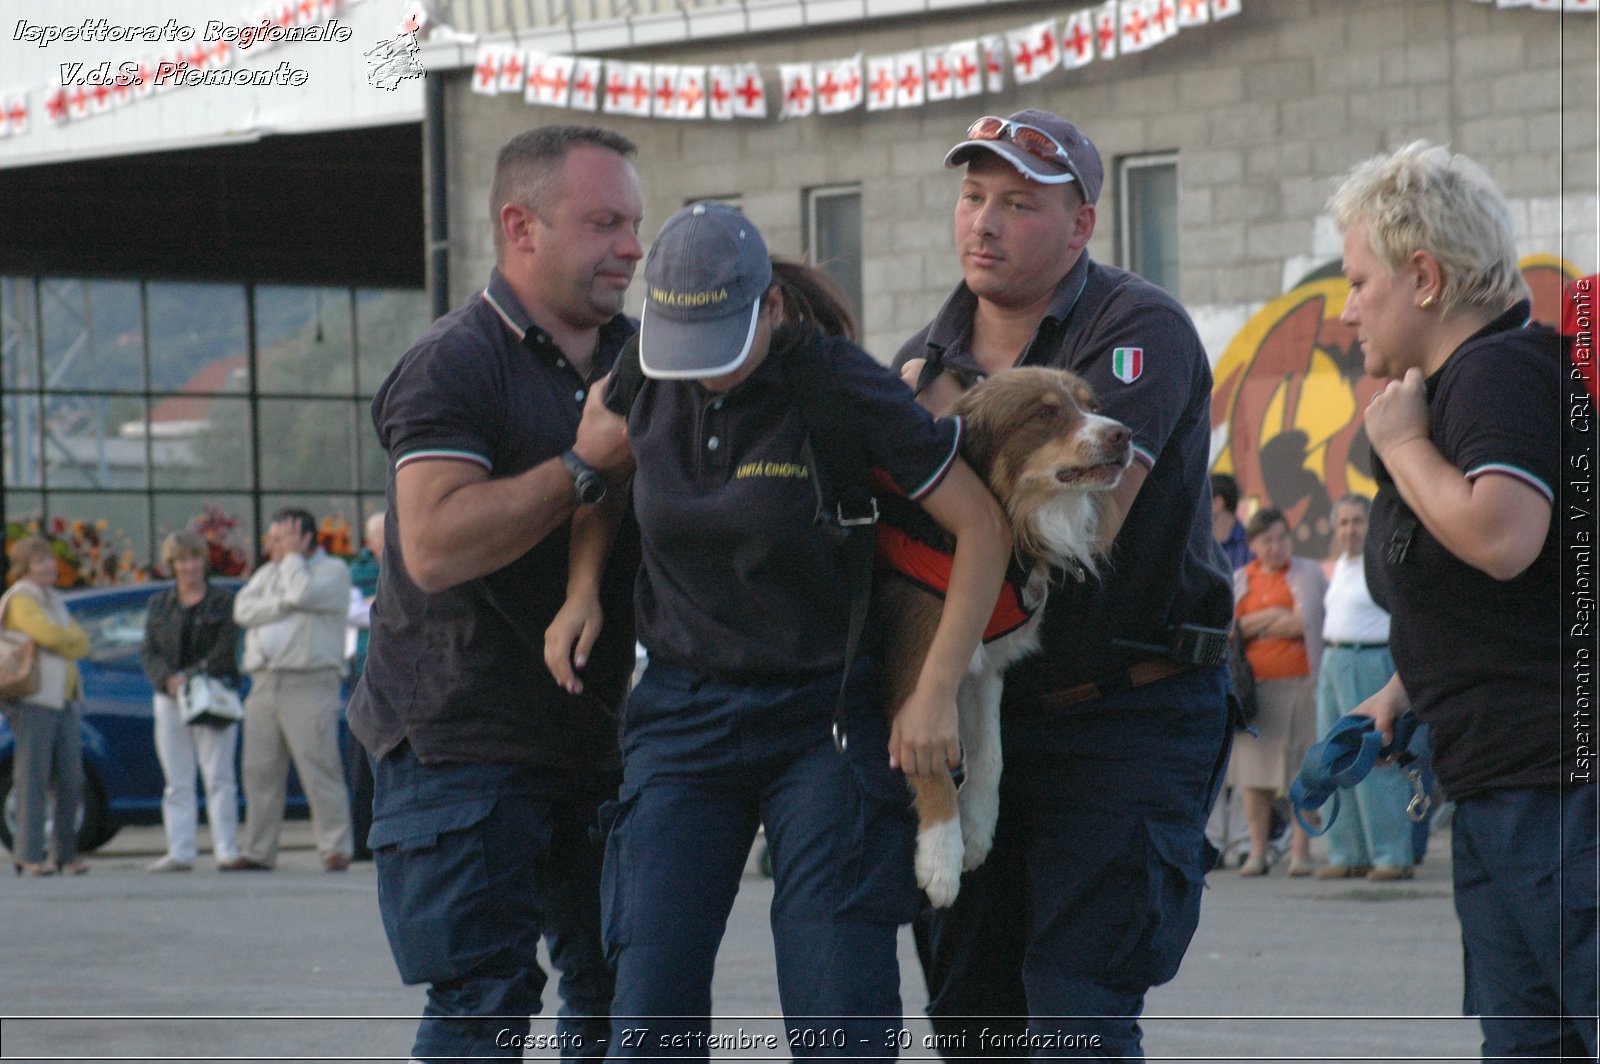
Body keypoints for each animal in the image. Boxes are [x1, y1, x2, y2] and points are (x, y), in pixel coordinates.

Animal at [883, 364, 1132, 902]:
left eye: (1090, 405)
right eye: (1042, 415)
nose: (1122, 434)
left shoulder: (982, 664)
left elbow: (990, 755)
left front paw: (977, 830)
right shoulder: (918, 656)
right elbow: (930, 757)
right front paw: (941, 859)